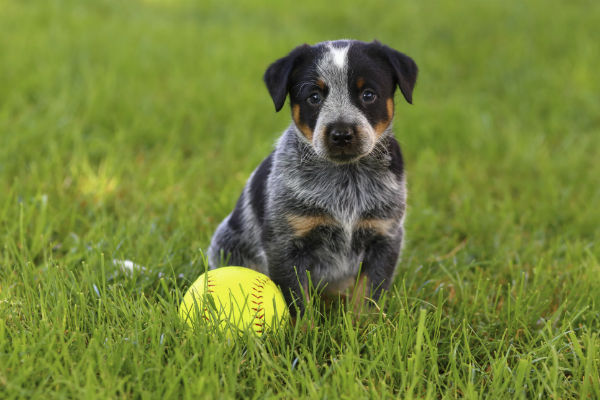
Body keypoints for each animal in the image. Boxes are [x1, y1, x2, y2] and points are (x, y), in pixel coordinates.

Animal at [209, 39, 420, 318]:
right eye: (314, 97)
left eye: (368, 95)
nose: (341, 134)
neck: (346, 179)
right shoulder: (285, 243)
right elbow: (298, 303)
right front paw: (304, 329)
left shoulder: (384, 236)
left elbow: (367, 298)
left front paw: (363, 327)